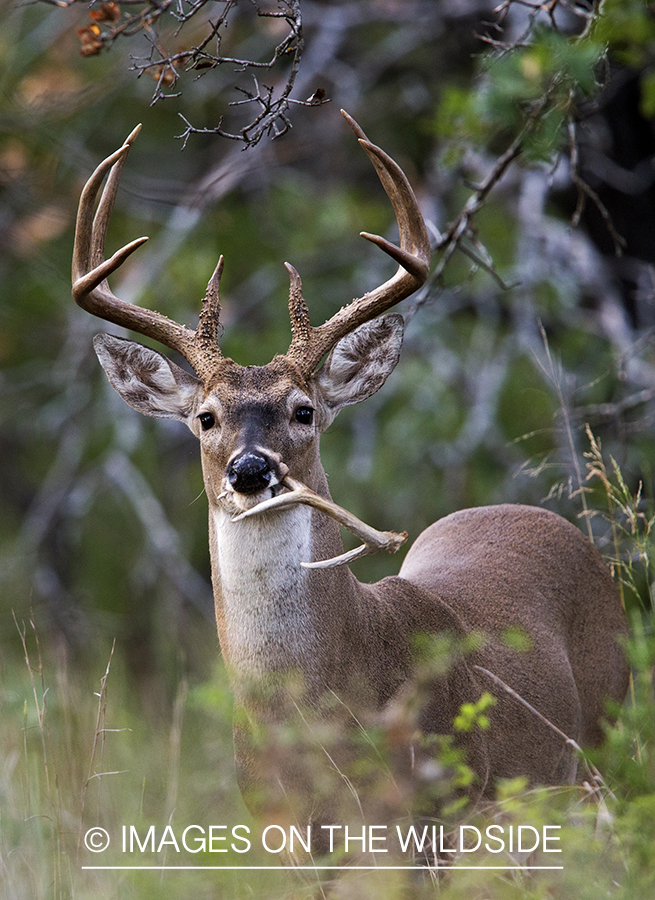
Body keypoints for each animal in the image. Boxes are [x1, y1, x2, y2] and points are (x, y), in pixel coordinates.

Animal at [72, 114, 632, 836]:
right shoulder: (277, 826)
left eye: (303, 410)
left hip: (596, 746)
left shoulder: (438, 807)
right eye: (204, 417)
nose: (250, 470)